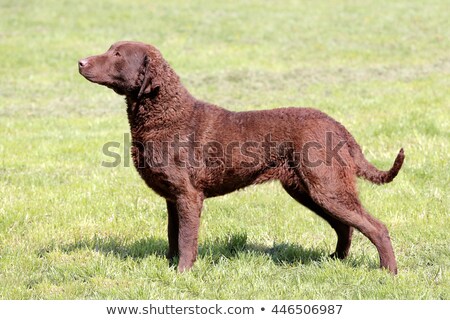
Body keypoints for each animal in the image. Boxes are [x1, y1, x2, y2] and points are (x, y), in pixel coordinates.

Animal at [78, 41, 404, 274]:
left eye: (117, 54)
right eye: (109, 48)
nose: (80, 61)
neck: (167, 115)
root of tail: (338, 126)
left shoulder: (188, 195)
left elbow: (186, 240)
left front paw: (182, 273)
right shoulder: (173, 197)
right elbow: (173, 235)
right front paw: (169, 267)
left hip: (326, 186)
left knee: (375, 227)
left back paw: (388, 271)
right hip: (308, 189)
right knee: (345, 226)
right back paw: (334, 260)